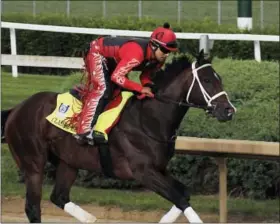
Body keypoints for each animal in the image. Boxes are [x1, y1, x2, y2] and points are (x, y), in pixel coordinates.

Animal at [1, 51, 236, 224]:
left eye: (220, 79)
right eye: (207, 80)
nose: (228, 110)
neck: (148, 119)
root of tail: (17, 109)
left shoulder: (159, 168)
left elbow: (184, 194)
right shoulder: (143, 172)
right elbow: (180, 198)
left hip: (68, 162)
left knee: (59, 196)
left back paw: (90, 219)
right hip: (33, 163)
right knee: (33, 207)